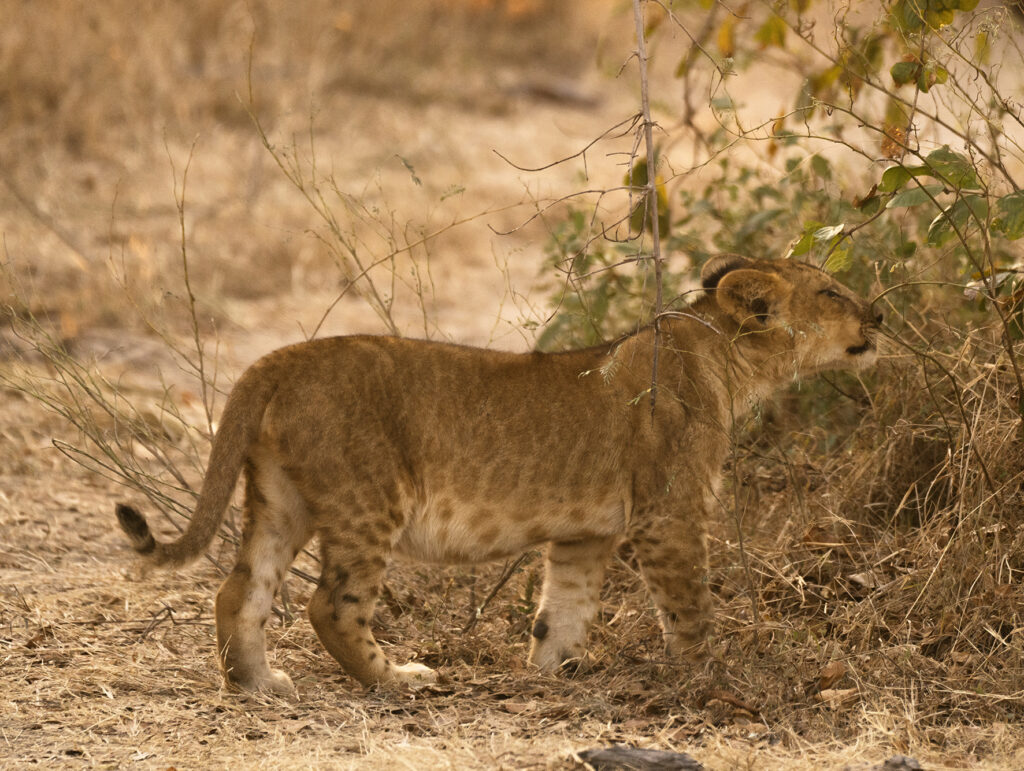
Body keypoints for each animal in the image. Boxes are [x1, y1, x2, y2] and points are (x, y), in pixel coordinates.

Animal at [115, 255, 881, 693]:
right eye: (831, 292)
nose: (878, 311)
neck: (727, 360)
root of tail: (280, 358)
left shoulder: (585, 535)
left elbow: (562, 611)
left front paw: (552, 677)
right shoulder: (667, 518)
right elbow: (690, 609)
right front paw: (710, 679)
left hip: (282, 499)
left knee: (239, 589)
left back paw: (258, 683)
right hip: (369, 498)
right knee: (329, 605)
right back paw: (397, 680)